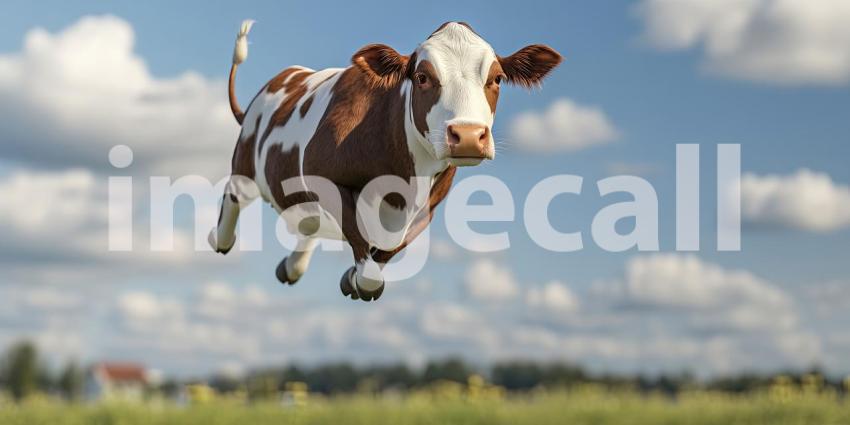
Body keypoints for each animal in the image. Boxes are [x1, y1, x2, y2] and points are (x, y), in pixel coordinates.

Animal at [210, 20, 562, 301]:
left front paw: (351, 277)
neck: (403, 181)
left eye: (497, 79)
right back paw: (219, 238)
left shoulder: (428, 206)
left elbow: (390, 246)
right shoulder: (320, 174)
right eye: (422, 77)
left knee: (308, 221)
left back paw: (292, 267)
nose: (468, 134)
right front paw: (359, 279)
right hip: (246, 161)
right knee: (234, 195)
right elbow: (363, 252)